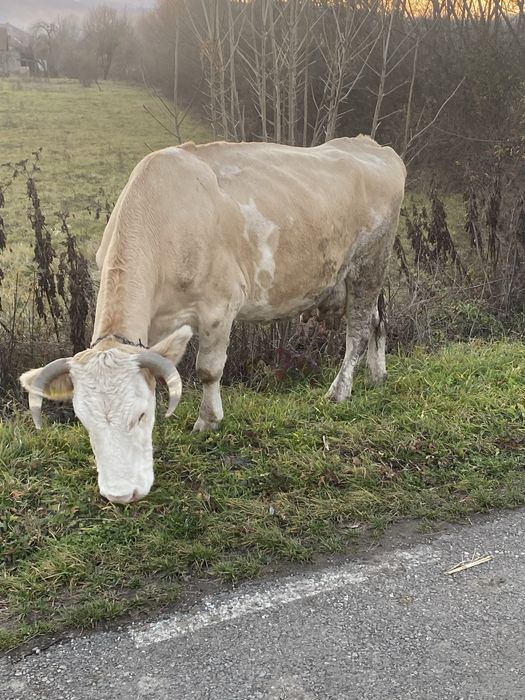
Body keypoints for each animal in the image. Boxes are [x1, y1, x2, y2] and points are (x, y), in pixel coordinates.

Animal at [20, 136, 406, 504]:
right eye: (85, 422)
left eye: (141, 415)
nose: (120, 494)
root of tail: (372, 146)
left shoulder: (220, 304)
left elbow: (208, 369)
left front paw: (208, 421)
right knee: (377, 320)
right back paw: (377, 376)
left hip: (369, 263)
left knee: (358, 331)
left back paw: (339, 391)